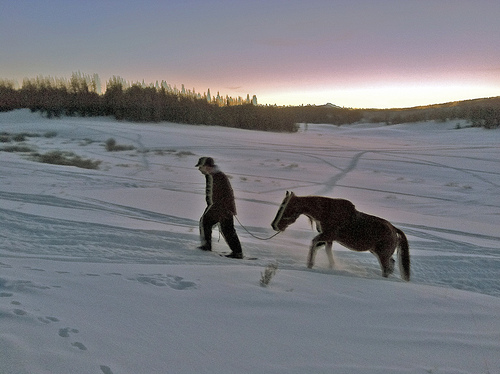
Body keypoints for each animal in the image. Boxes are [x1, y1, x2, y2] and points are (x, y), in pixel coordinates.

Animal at [274, 191, 410, 282]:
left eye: (284, 207)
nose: (274, 225)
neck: (326, 211)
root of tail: (394, 229)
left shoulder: (327, 235)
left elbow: (314, 243)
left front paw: (310, 265)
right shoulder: (328, 238)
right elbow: (326, 250)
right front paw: (331, 266)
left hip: (382, 254)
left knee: (386, 268)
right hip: (377, 252)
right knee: (391, 263)